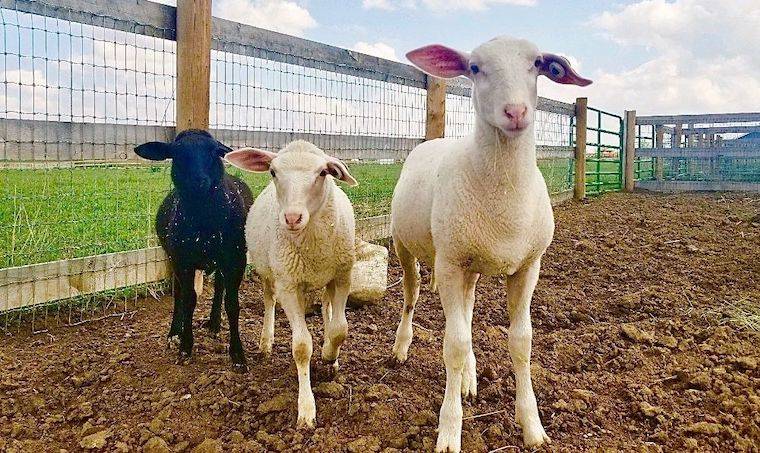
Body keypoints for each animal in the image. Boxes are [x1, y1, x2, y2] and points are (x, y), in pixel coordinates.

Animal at [134, 129, 254, 371]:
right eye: (176, 154)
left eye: (215, 151)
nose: (198, 182)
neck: (204, 222)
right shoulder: (182, 260)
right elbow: (188, 300)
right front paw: (185, 347)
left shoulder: (236, 259)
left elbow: (233, 304)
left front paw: (238, 355)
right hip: (175, 258)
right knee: (180, 294)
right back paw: (174, 333)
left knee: (219, 287)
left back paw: (214, 324)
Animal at [225, 140, 358, 428]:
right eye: (273, 172)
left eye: (323, 172)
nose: (292, 218)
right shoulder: (288, 285)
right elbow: (301, 347)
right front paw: (306, 410)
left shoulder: (343, 276)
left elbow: (340, 329)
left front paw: (330, 355)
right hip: (268, 271)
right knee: (268, 301)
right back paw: (266, 342)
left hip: (326, 278)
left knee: (327, 307)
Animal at [389, 37, 591, 452]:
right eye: (475, 68)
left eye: (537, 64)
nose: (515, 112)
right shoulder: (449, 264)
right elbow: (453, 345)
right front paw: (449, 431)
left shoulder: (528, 266)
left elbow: (521, 342)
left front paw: (532, 426)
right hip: (407, 246)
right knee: (411, 297)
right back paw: (401, 348)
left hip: (471, 266)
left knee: (466, 313)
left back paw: (470, 379)